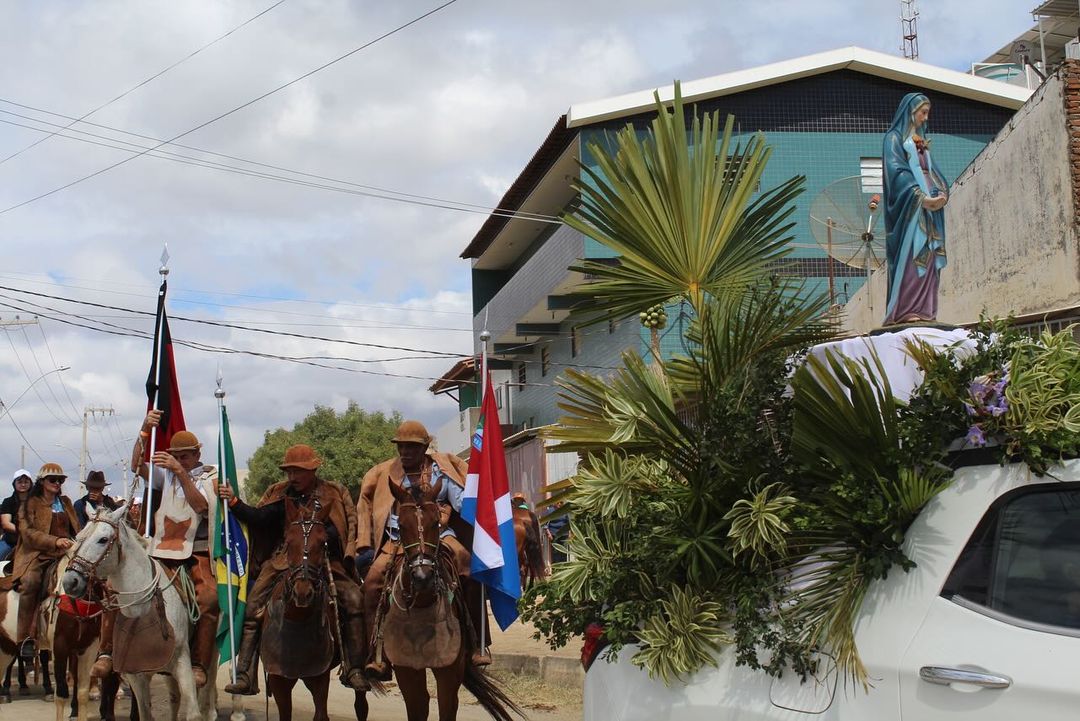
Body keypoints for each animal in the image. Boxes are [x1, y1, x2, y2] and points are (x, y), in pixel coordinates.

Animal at [60, 505, 216, 721]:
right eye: (78, 537)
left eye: (103, 539)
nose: (70, 582)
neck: (143, 608)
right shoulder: (137, 674)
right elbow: (145, 713)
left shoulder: (182, 663)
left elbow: (194, 713)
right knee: (174, 698)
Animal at [384, 479, 522, 721]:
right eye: (401, 525)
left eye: (435, 523)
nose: (422, 577)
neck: (422, 604)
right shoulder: (406, 669)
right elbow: (417, 707)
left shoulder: (449, 670)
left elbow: (447, 708)